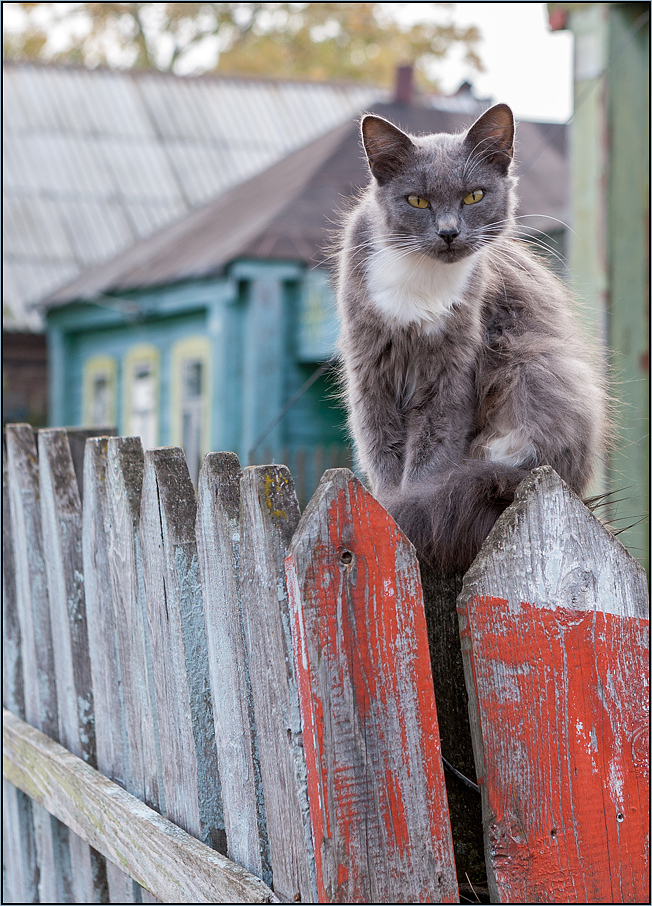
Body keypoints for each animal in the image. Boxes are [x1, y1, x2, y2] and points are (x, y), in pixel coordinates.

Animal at [336, 102, 608, 572]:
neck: (421, 281)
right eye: (418, 200)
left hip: (535, 366)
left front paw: (404, 513)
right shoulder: (371, 374)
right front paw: (386, 509)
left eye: (474, 196)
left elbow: (428, 464)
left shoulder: (449, 381)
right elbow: (382, 453)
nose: (448, 232)